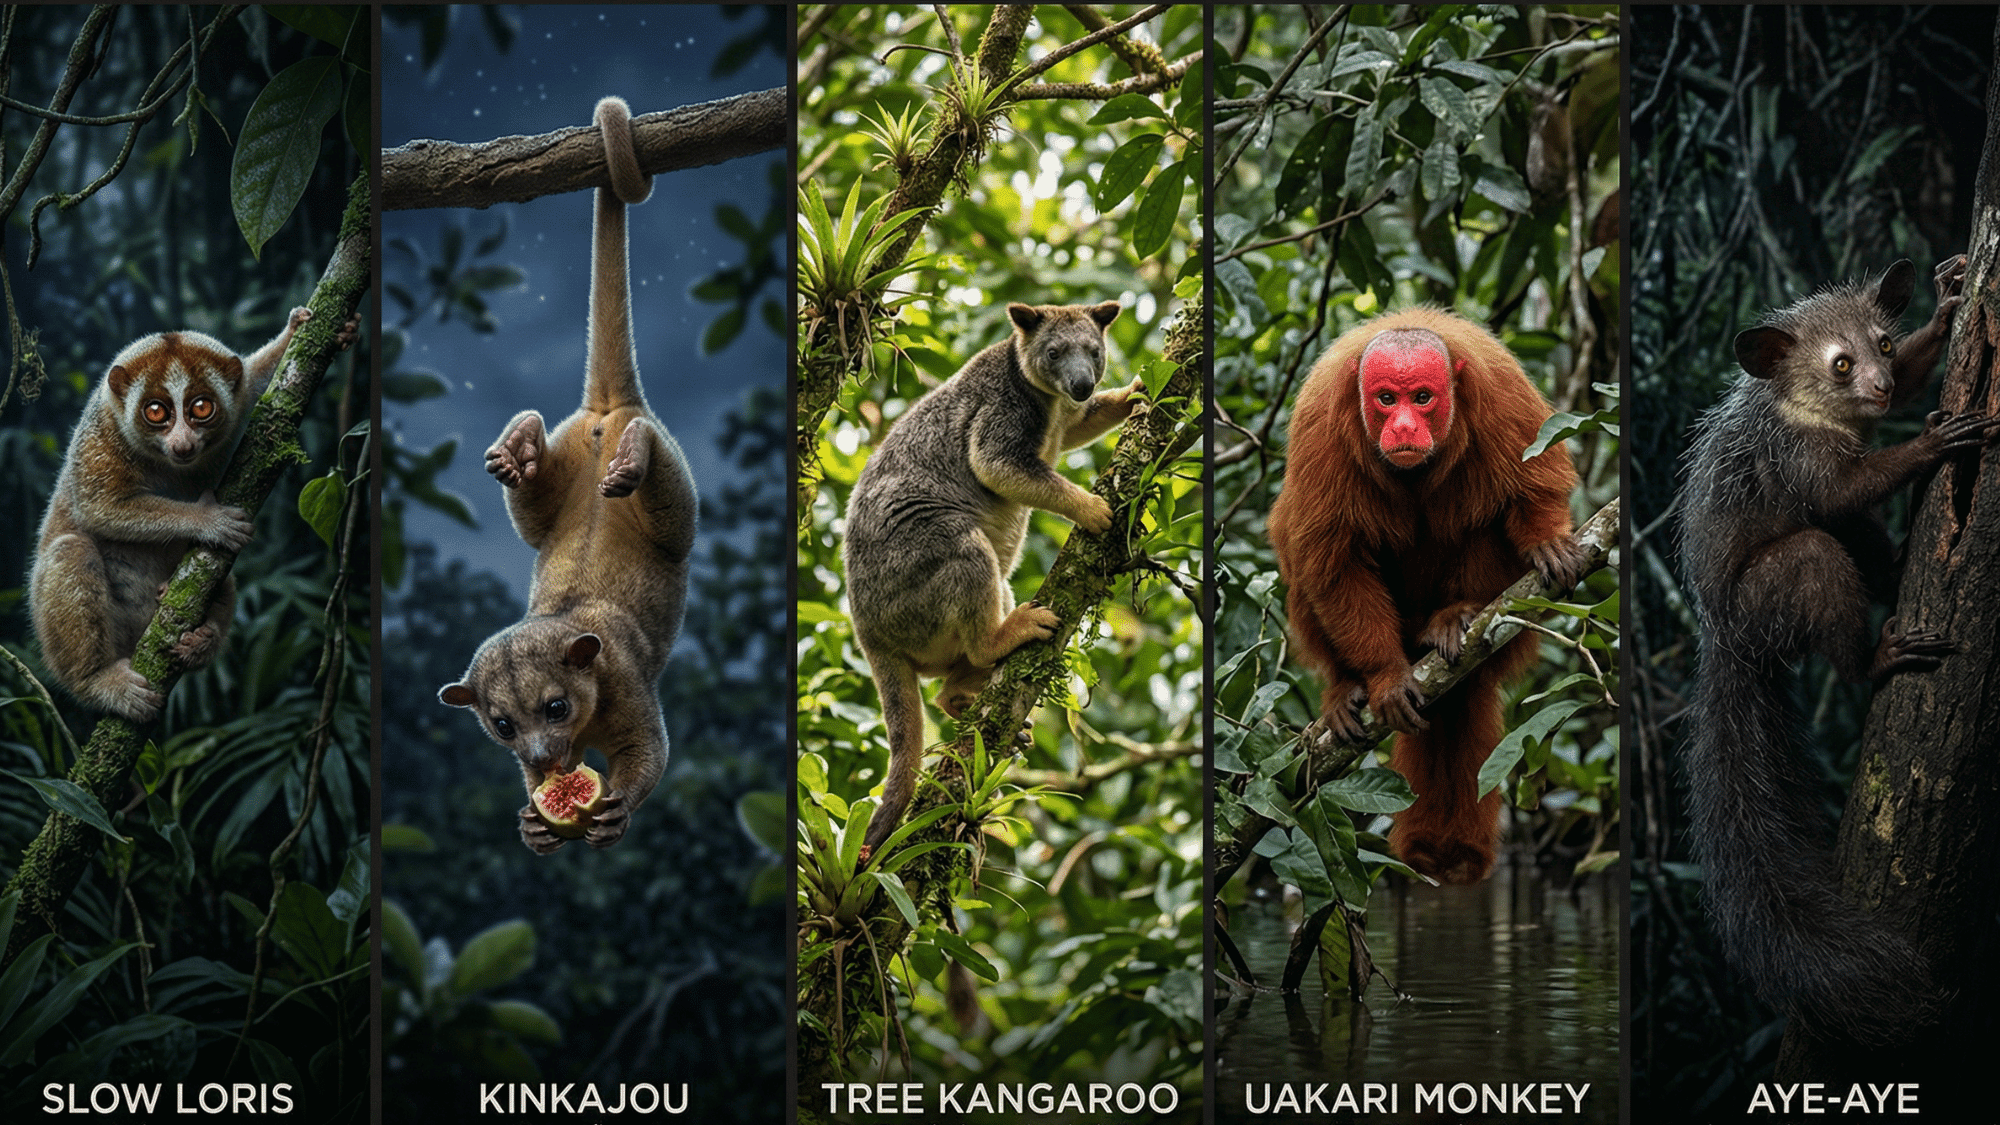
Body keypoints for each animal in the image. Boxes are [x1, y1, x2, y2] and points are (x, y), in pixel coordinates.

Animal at [27, 305, 355, 723]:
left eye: (201, 408)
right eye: (155, 412)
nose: (182, 445)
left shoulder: (241, 396)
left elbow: (258, 378)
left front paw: (310, 330)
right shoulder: (101, 434)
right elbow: (98, 505)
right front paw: (209, 522)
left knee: (226, 580)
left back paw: (201, 639)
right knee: (71, 551)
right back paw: (100, 682)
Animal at [438, 97, 698, 855]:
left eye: (555, 706)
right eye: (501, 725)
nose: (546, 758)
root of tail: (608, 409)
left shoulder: (626, 681)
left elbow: (651, 750)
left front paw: (617, 808)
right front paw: (535, 819)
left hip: (672, 486)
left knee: (671, 509)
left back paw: (633, 454)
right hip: (563, 458)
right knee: (533, 508)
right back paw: (518, 447)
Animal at [842, 300, 1144, 853]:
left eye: (1094, 351)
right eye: (1054, 352)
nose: (1082, 383)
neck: (1043, 396)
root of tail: (869, 633)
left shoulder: (1065, 415)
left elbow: (1080, 426)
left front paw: (1135, 392)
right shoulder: (1000, 410)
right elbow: (995, 465)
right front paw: (1091, 509)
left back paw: (965, 693)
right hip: (916, 573)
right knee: (968, 554)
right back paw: (1004, 639)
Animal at [1267, 307, 1588, 886]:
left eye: (1422, 398)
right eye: (1385, 399)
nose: (1402, 427)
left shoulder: (1501, 392)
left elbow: (1535, 480)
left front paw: (1546, 539)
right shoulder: (1320, 425)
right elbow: (1333, 562)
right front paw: (1384, 677)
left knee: (1485, 513)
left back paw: (1454, 618)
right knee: (1300, 551)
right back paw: (1346, 689)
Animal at [1677, 255, 1997, 1045]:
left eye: (1881, 344)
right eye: (1840, 364)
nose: (1878, 387)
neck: (1806, 409)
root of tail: (1729, 639)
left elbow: (1914, 379)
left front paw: (1946, 307)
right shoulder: (1799, 458)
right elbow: (1843, 489)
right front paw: (1931, 444)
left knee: (1855, 535)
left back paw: (1898, 563)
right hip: (1780, 586)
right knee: (1823, 548)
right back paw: (1877, 655)